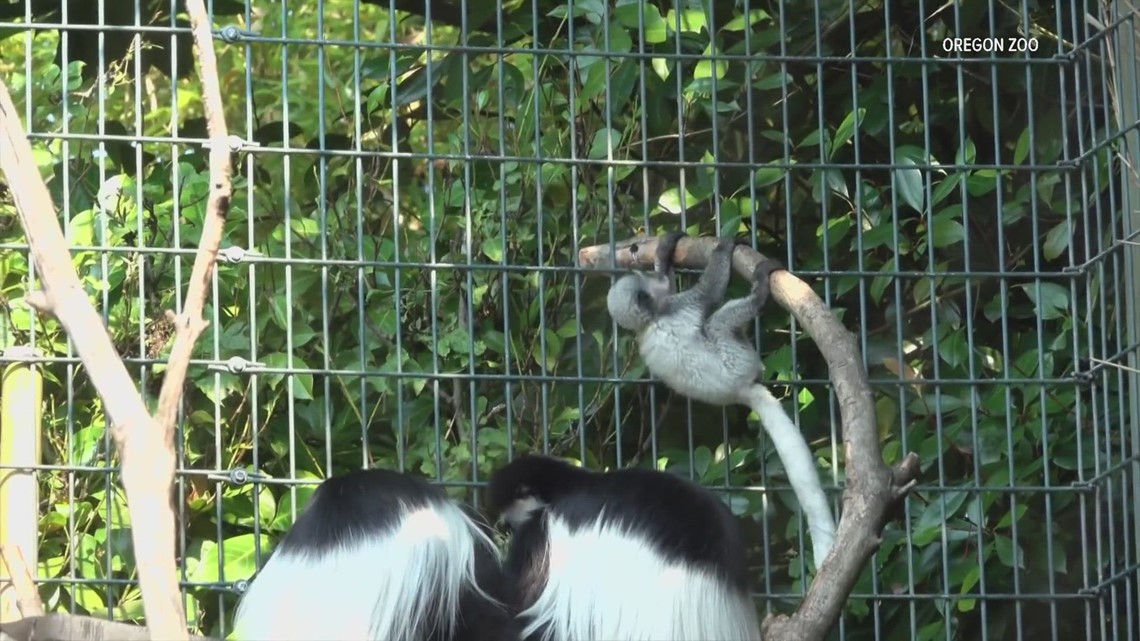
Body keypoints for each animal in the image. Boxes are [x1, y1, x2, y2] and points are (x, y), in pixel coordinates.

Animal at [604, 232, 837, 566]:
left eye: (644, 278)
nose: (647, 277)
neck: (648, 323)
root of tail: (740, 390)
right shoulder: (677, 308)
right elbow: (707, 294)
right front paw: (725, 246)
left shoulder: (667, 308)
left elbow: (671, 284)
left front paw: (664, 253)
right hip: (737, 357)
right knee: (718, 322)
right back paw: (760, 290)